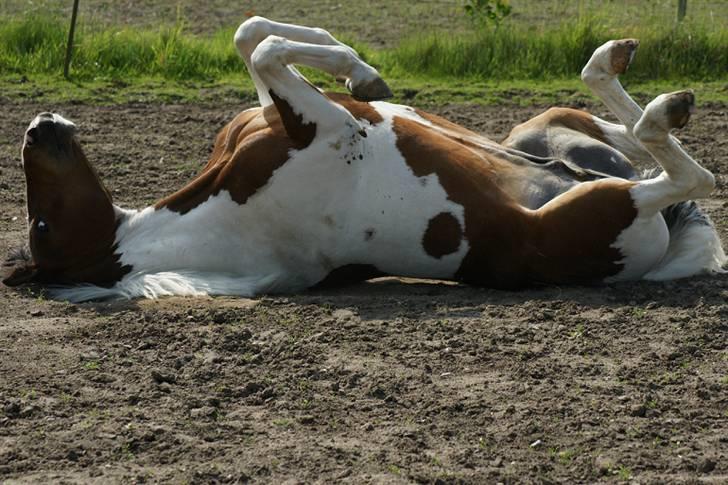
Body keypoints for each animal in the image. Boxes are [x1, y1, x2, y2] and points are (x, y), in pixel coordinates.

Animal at [2, 18, 724, 298]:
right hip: (606, 202)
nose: (37, 125)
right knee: (689, 172)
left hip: (540, 128)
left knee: (615, 122)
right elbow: (267, 49)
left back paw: (620, 65)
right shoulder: (327, 128)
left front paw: (363, 74)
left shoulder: (288, 111)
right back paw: (666, 102)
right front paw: (364, 73)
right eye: (41, 225)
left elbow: (253, 37)